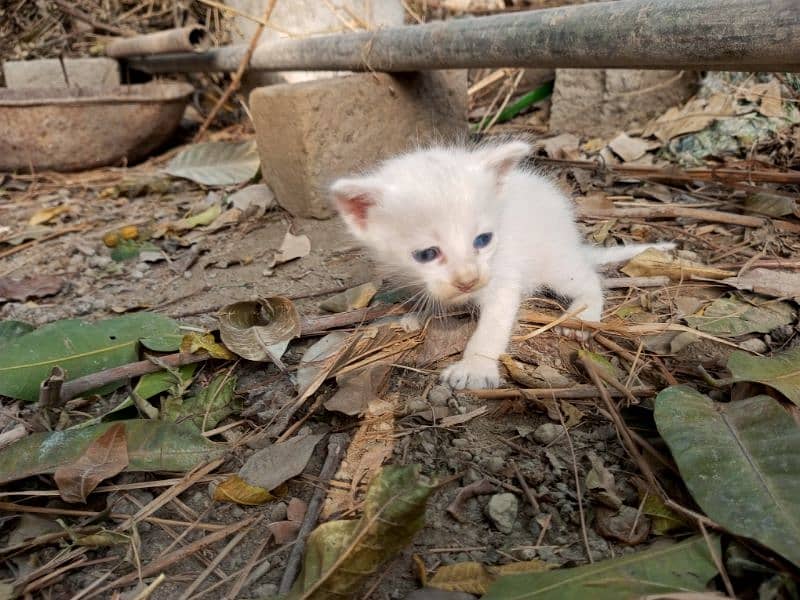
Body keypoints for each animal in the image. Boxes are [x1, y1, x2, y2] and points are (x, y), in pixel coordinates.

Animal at [328, 144, 672, 392]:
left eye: (483, 240)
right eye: (427, 254)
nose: (469, 279)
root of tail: (571, 239)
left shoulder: (502, 277)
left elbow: (492, 326)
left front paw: (475, 368)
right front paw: (416, 314)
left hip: (555, 261)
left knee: (588, 280)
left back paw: (583, 315)